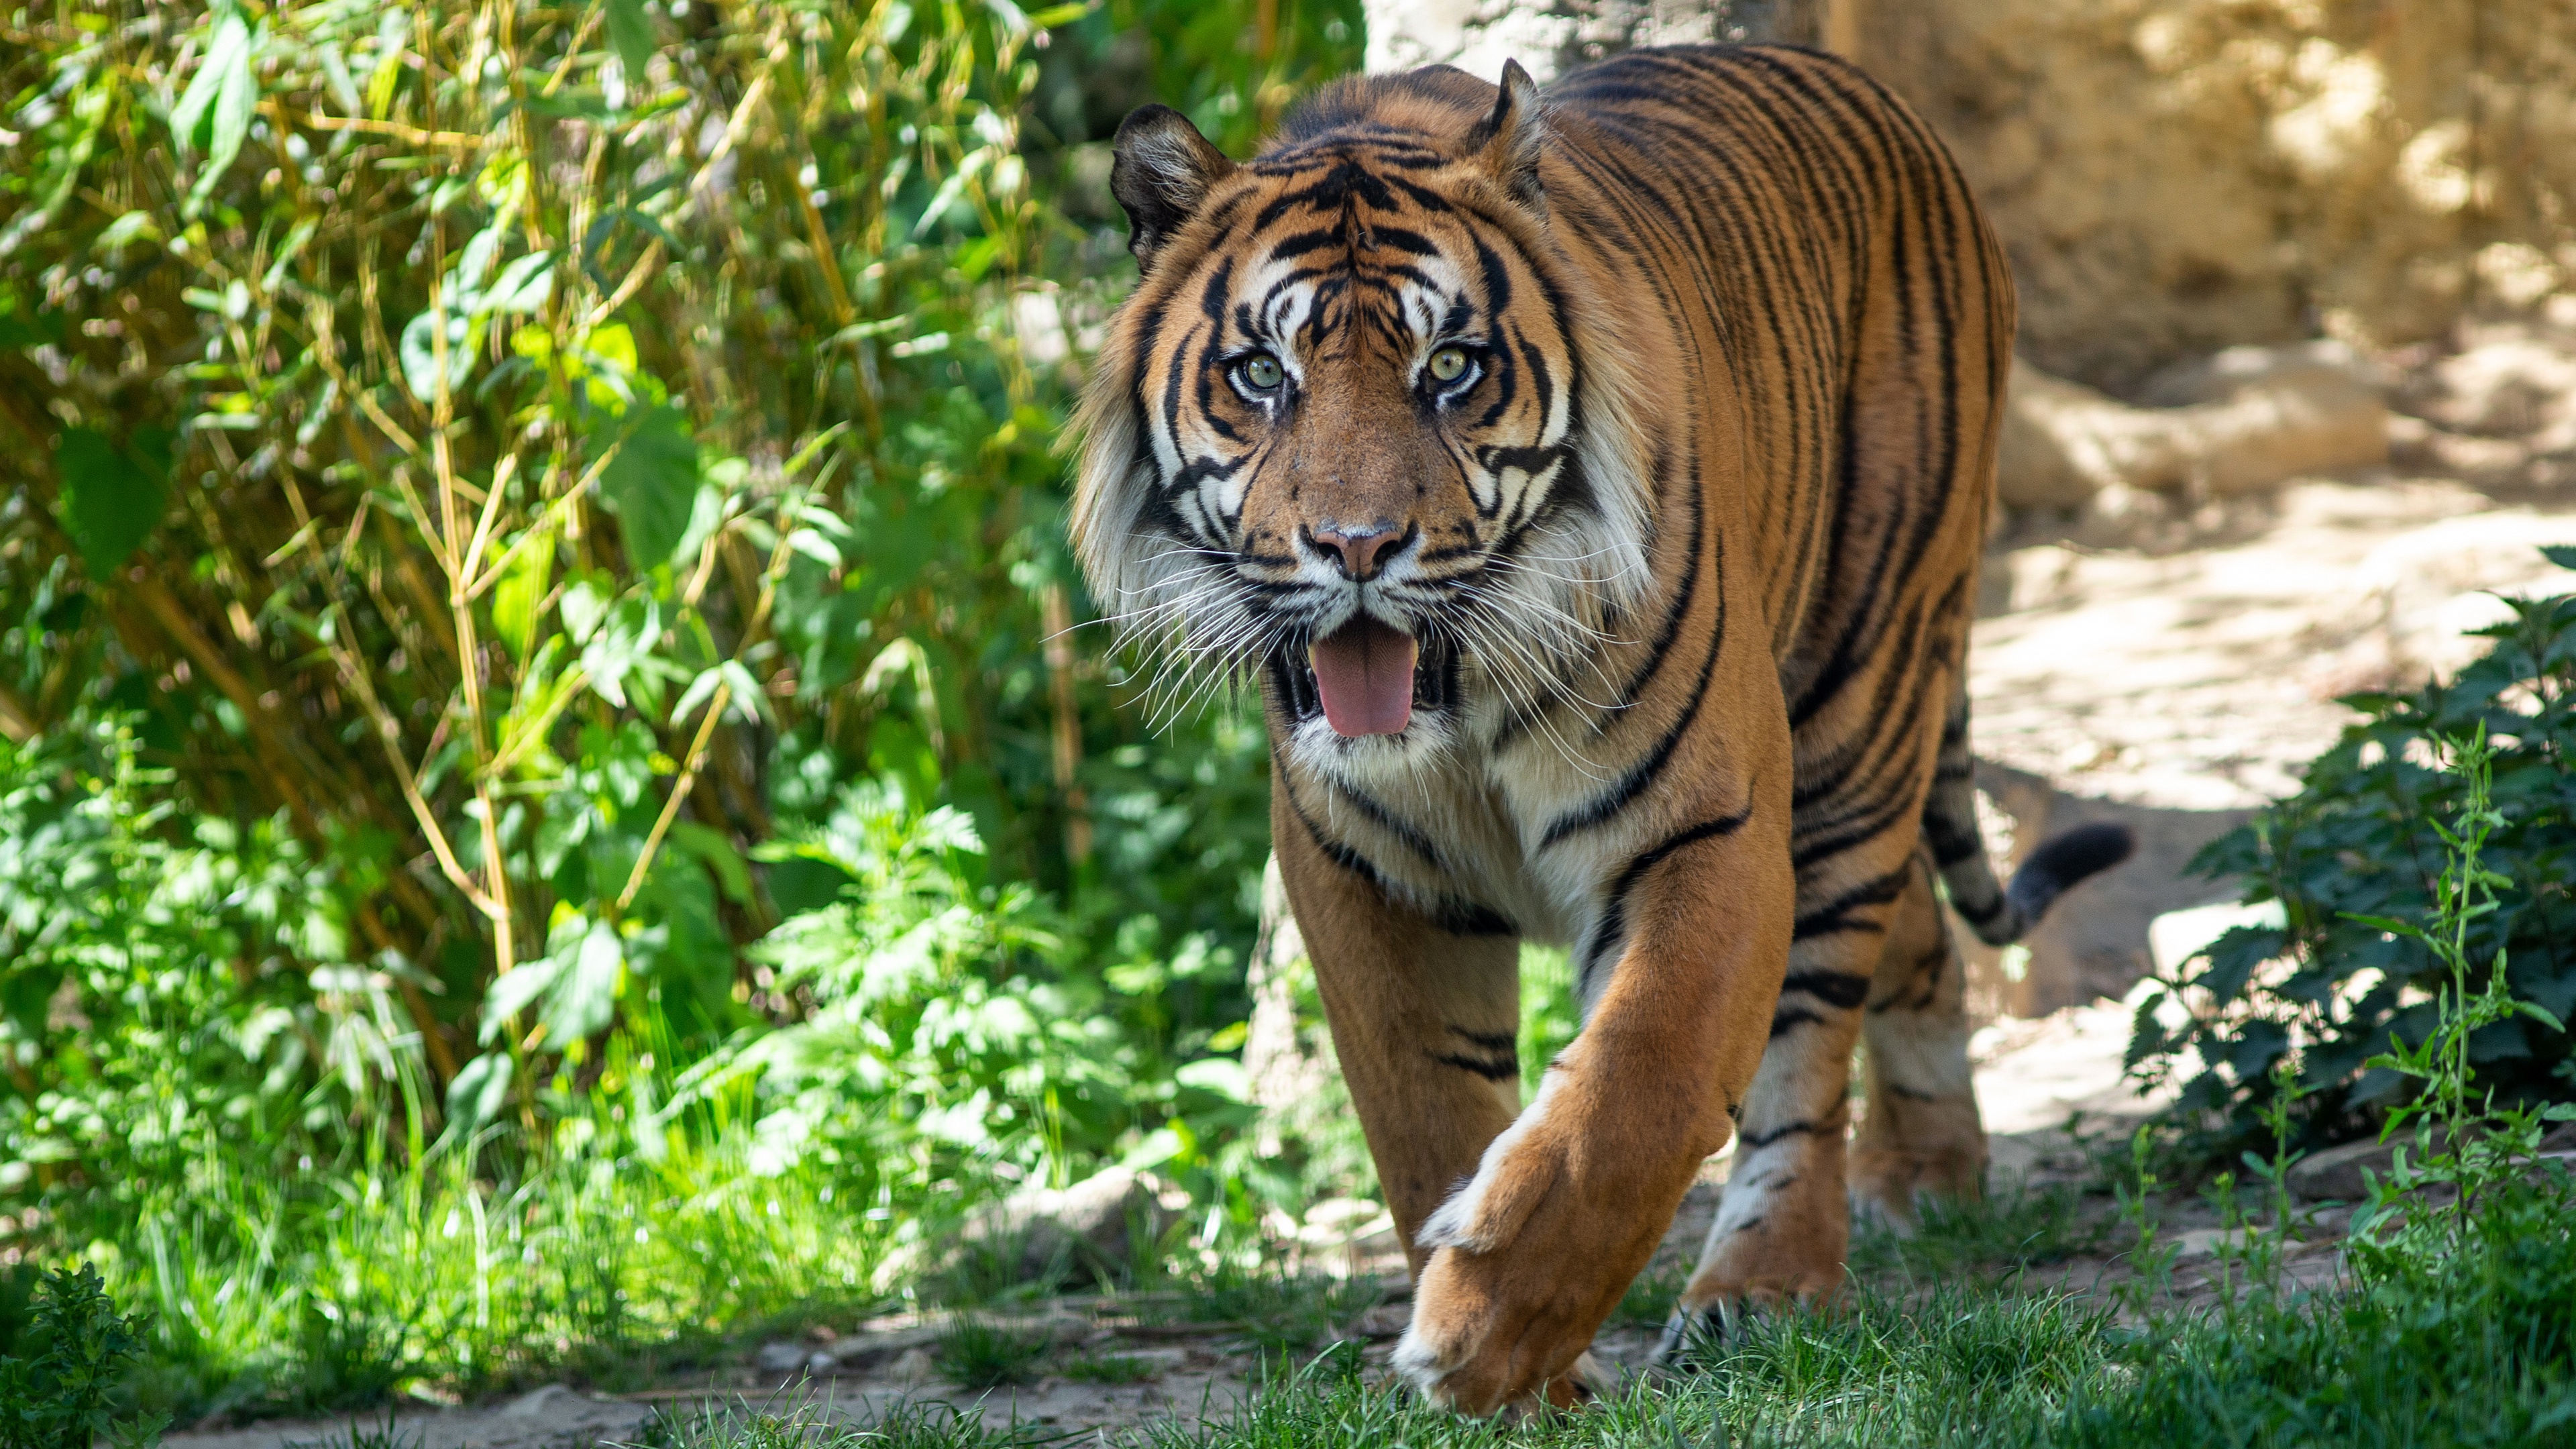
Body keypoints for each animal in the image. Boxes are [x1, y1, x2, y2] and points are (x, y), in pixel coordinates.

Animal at [1066, 48, 2133, 1413]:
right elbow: (1424, 1115)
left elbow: (1641, 1088)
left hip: (1859, 700)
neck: (1455, 719)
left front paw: (1482, 1336)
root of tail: (1883, 100)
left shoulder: (1711, 830)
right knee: (1918, 933)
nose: (1356, 548)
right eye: (1262, 376)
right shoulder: (1358, 871)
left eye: (1451, 369)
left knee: (1817, 1027)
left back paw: (1768, 1288)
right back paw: (1930, 1176)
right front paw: (1513, 1369)